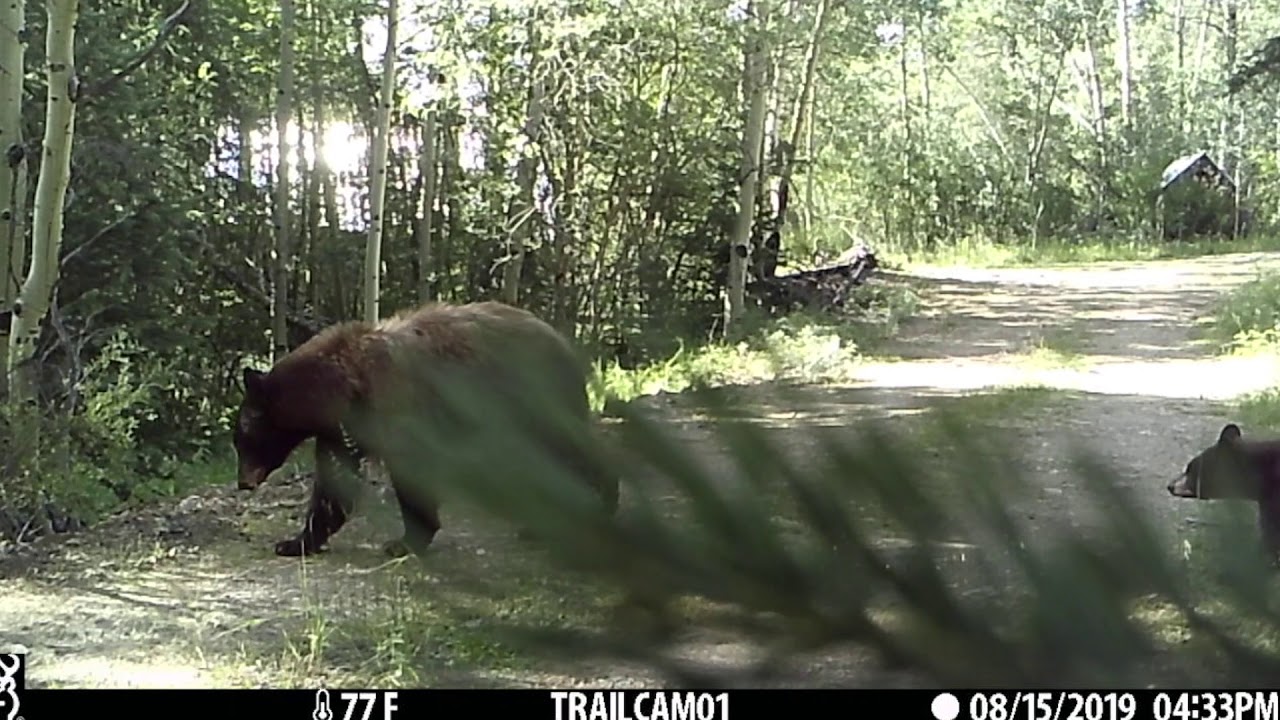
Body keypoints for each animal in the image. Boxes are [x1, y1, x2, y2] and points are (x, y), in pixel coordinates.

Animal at [233, 300, 620, 558]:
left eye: (243, 438)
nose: (242, 482)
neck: (341, 382)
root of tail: (563, 343)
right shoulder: (341, 429)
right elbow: (334, 484)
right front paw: (296, 542)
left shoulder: (393, 407)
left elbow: (409, 471)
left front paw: (406, 541)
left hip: (534, 398)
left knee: (569, 448)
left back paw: (604, 505)